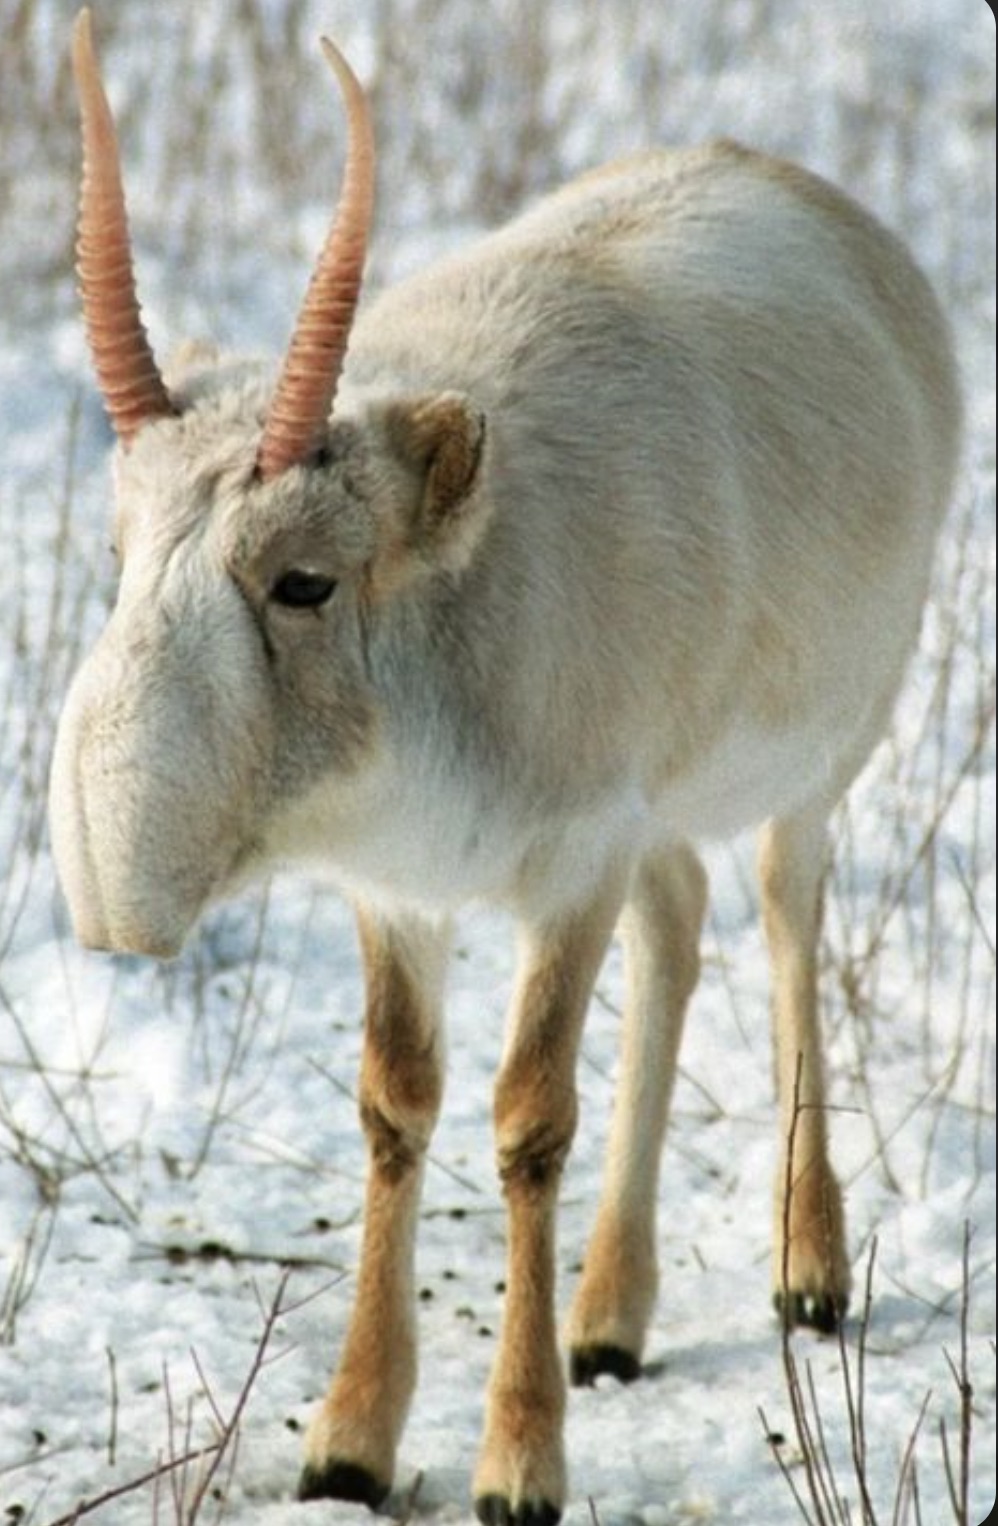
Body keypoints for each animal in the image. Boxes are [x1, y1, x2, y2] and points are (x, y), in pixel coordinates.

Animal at [52, 14, 964, 1526]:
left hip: (825, 746)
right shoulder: (402, 891)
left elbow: (531, 1117)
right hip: (664, 807)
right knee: (678, 923)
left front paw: (520, 1460)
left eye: (304, 579)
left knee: (784, 915)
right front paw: (349, 1439)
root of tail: (800, 187)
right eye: (118, 557)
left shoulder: (572, 862)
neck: (451, 603)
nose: (114, 891)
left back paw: (806, 1266)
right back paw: (609, 1312)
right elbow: (393, 1103)